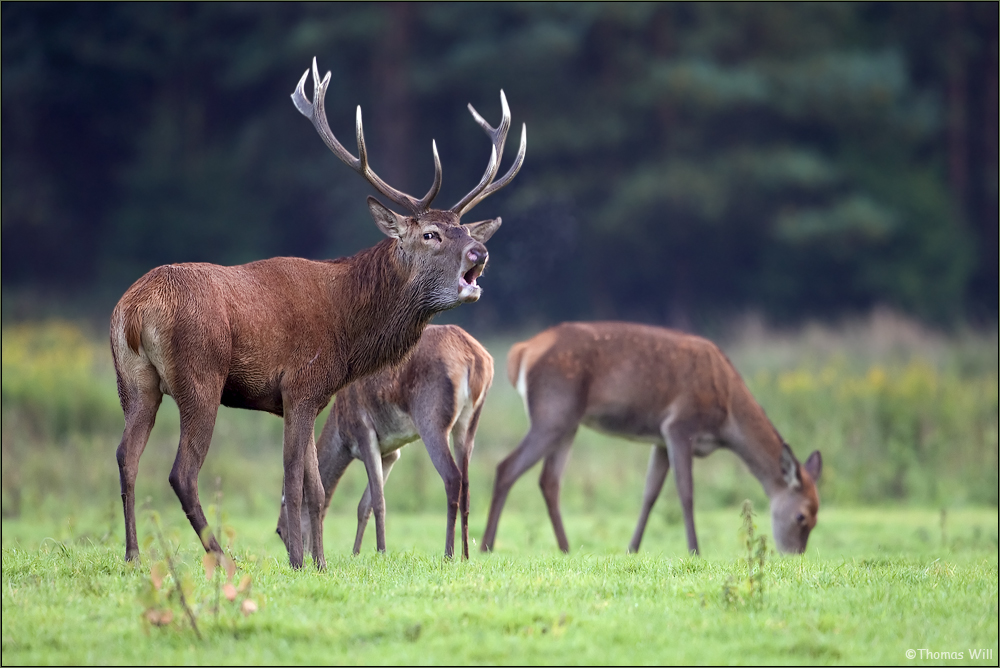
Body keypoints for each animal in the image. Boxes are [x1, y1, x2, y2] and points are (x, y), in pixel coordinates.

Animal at [276, 324, 494, 560]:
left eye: (278, 530)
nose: (298, 553)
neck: (341, 434)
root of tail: (478, 359)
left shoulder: (364, 433)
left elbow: (378, 502)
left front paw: (381, 551)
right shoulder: (390, 453)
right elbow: (365, 504)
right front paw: (356, 553)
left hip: (431, 419)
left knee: (452, 477)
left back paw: (448, 553)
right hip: (468, 424)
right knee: (467, 484)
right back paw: (466, 555)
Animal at [482, 320, 820, 556]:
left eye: (817, 518)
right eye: (801, 516)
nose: (794, 556)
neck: (726, 417)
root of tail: (522, 351)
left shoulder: (659, 439)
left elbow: (650, 494)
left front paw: (632, 549)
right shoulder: (679, 426)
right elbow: (686, 493)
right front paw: (695, 550)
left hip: (568, 422)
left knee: (549, 480)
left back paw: (565, 549)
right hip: (553, 412)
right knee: (506, 467)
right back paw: (486, 545)